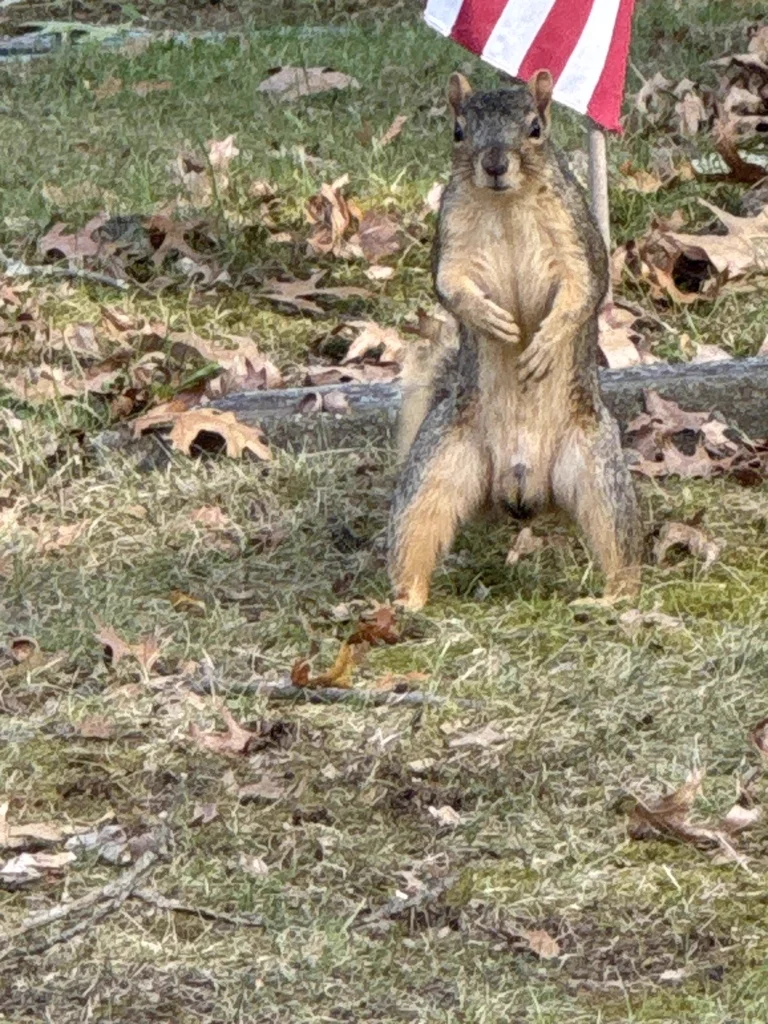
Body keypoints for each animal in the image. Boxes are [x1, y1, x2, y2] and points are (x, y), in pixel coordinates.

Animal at [388, 70, 641, 611]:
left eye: (536, 128)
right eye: (458, 130)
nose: (495, 164)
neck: (506, 204)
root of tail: (520, 490)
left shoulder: (577, 240)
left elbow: (581, 290)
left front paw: (543, 344)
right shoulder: (451, 242)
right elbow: (450, 285)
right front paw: (491, 320)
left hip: (599, 473)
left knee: (619, 545)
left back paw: (611, 600)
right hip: (438, 463)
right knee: (416, 528)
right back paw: (405, 601)